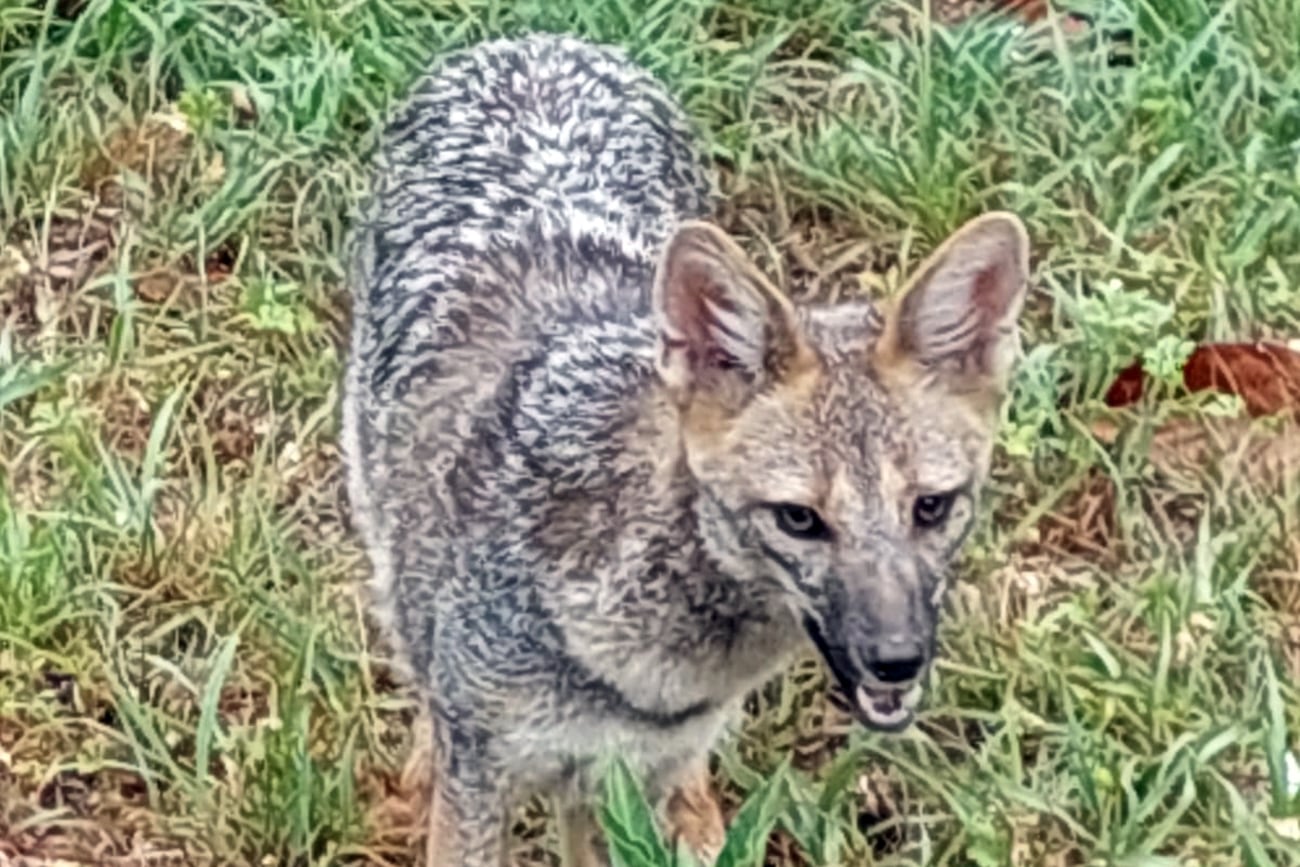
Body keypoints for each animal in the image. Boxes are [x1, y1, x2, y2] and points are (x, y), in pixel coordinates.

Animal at [340, 30, 1029, 863]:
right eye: (799, 519)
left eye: (932, 506)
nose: (897, 657)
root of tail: (538, 41)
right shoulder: (489, 777)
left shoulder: (624, 770)